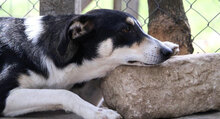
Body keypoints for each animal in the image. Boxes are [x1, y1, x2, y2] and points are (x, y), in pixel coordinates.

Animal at [0, 9, 179, 119]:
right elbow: (63, 93)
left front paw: (169, 44)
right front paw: (98, 113)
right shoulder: (4, 95)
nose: (166, 52)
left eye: (140, 28)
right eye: (125, 30)